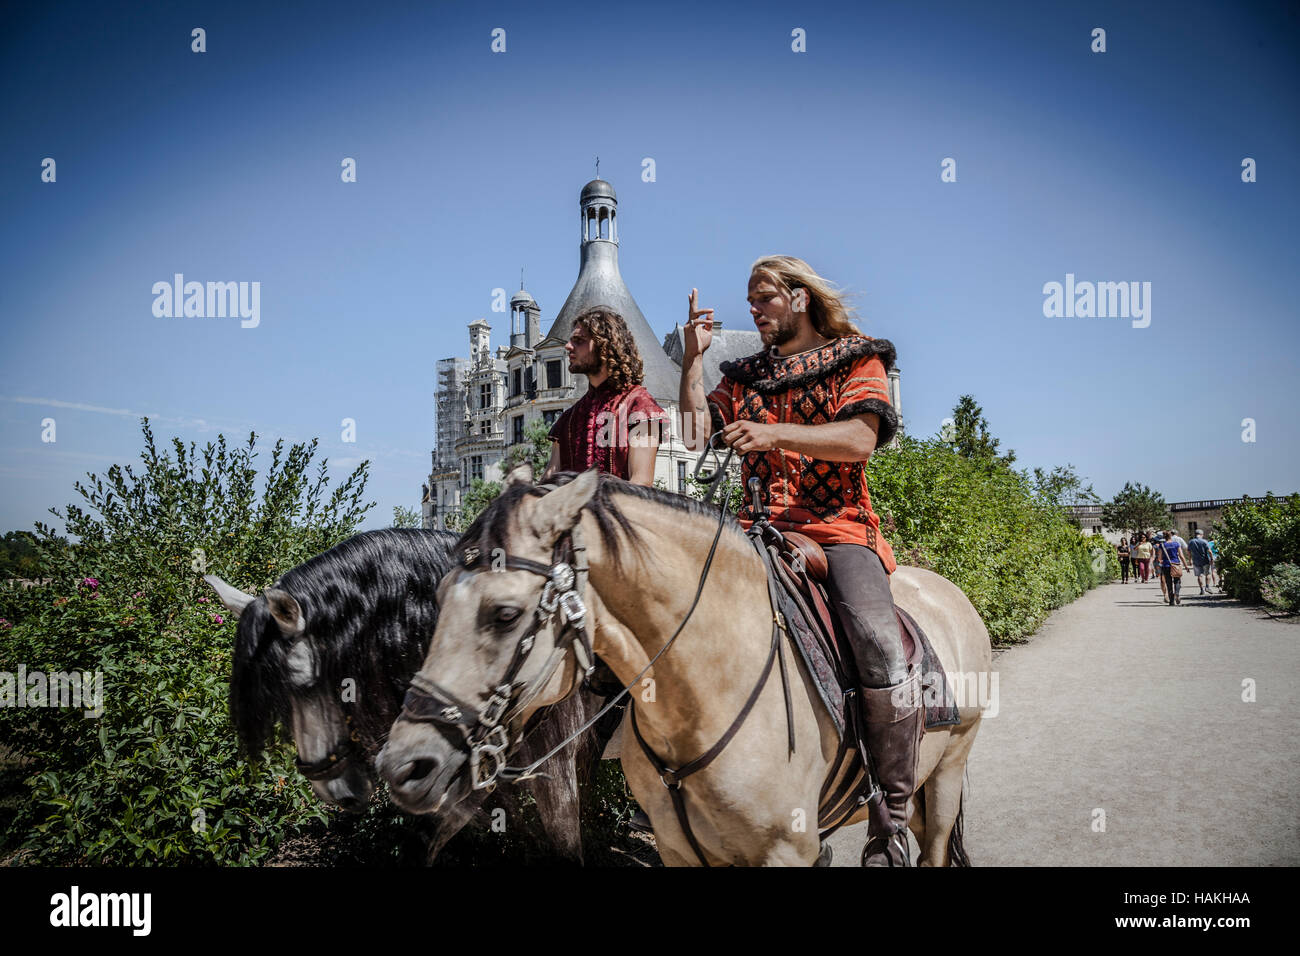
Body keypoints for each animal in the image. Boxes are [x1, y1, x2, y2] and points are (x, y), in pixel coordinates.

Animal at [379, 470, 987, 868]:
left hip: (949, 766)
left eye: (504, 613)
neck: (704, 696)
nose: (402, 765)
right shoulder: (680, 851)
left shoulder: (785, 851)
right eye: (438, 596)